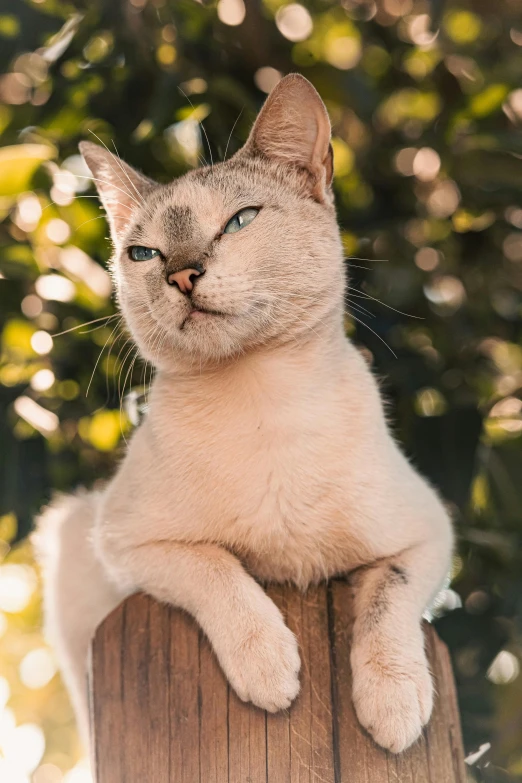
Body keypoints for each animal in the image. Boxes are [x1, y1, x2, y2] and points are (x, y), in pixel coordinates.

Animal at [35, 76, 450, 756]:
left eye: (239, 222)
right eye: (143, 253)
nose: (182, 275)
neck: (260, 398)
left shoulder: (428, 532)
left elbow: (388, 599)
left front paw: (393, 704)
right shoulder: (125, 541)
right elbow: (218, 570)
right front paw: (270, 669)